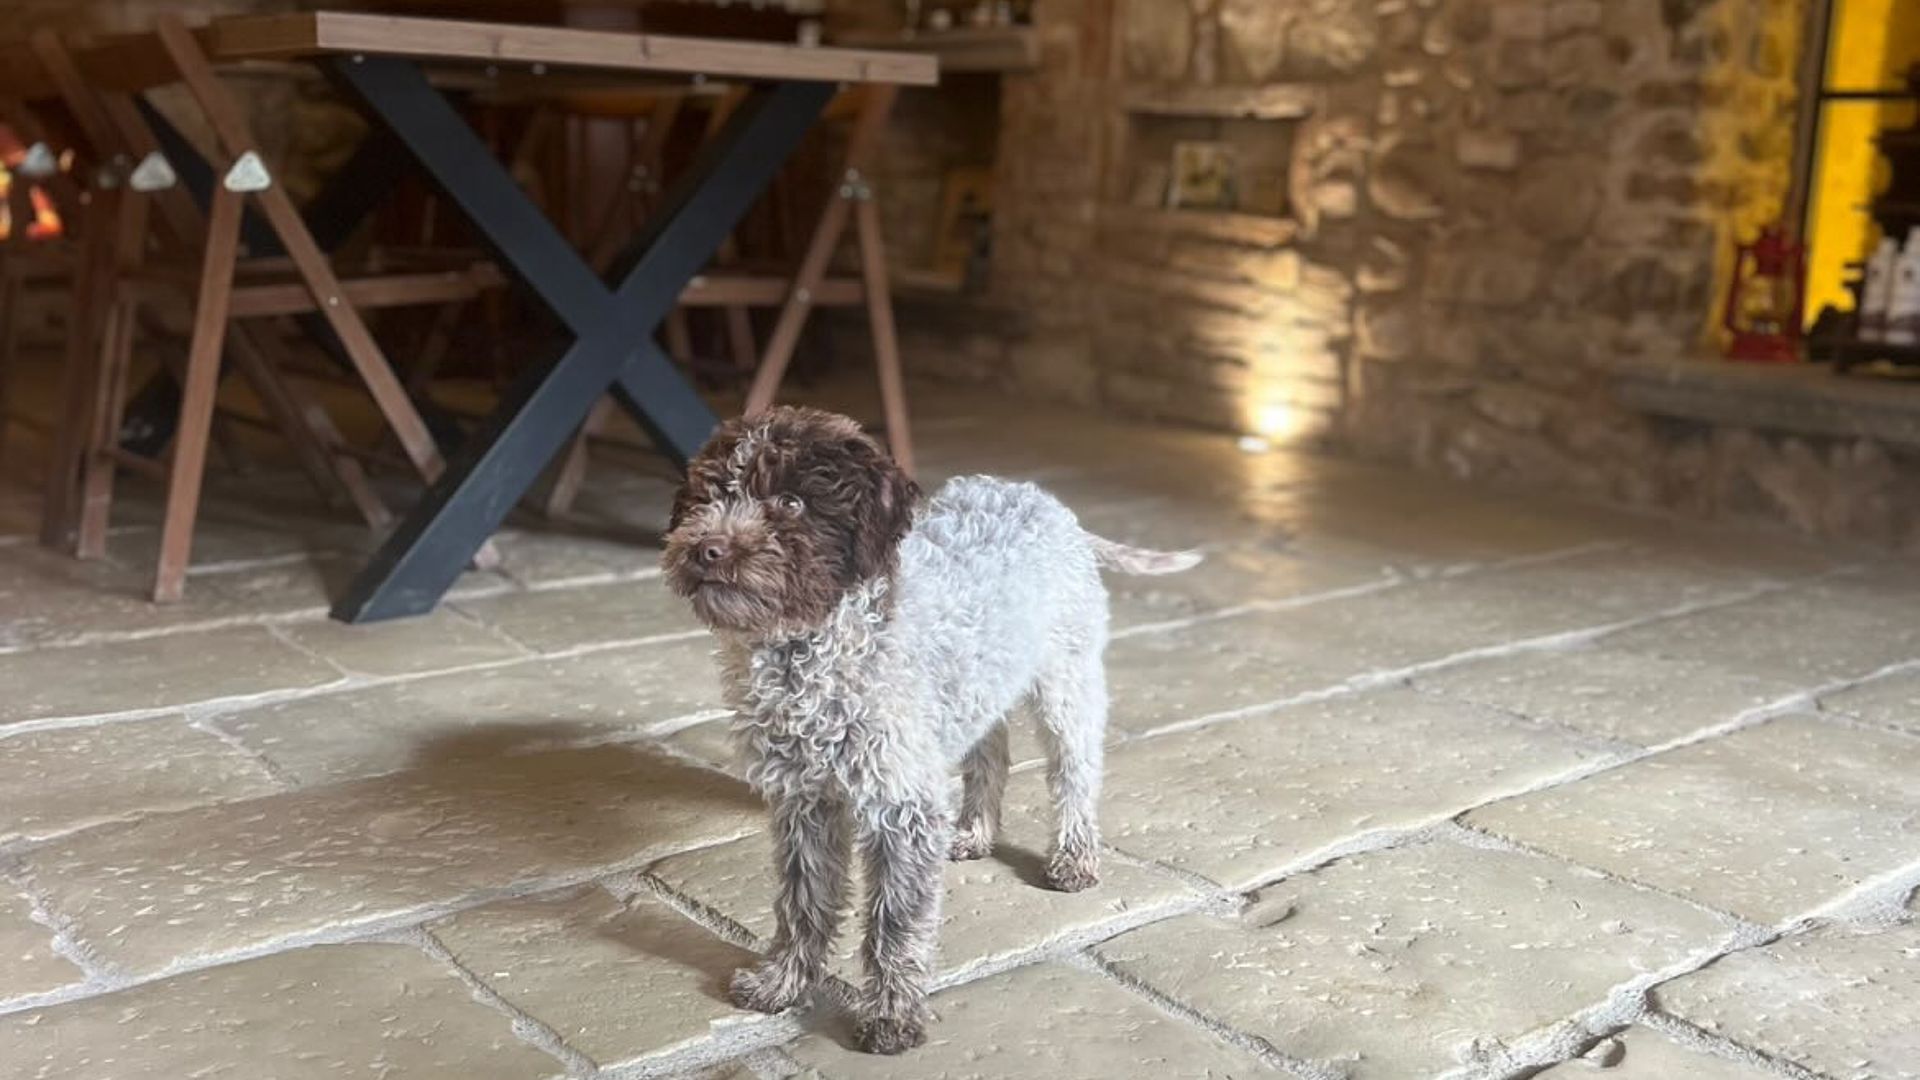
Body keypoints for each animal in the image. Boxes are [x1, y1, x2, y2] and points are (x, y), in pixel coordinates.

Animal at [662, 406, 1199, 1054]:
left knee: (1075, 770)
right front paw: (783, 982)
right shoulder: (803, 799)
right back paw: (973, 831)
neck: (815, 647)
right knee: (991, 753)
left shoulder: (901, 801)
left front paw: (892, 1016)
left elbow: (895, 921)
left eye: (791, 501)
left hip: (1066, 680)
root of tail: (1046, 503)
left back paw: (1073, 856)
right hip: (982, 685)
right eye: (708, 495)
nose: (706, 550)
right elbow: (802, 902)